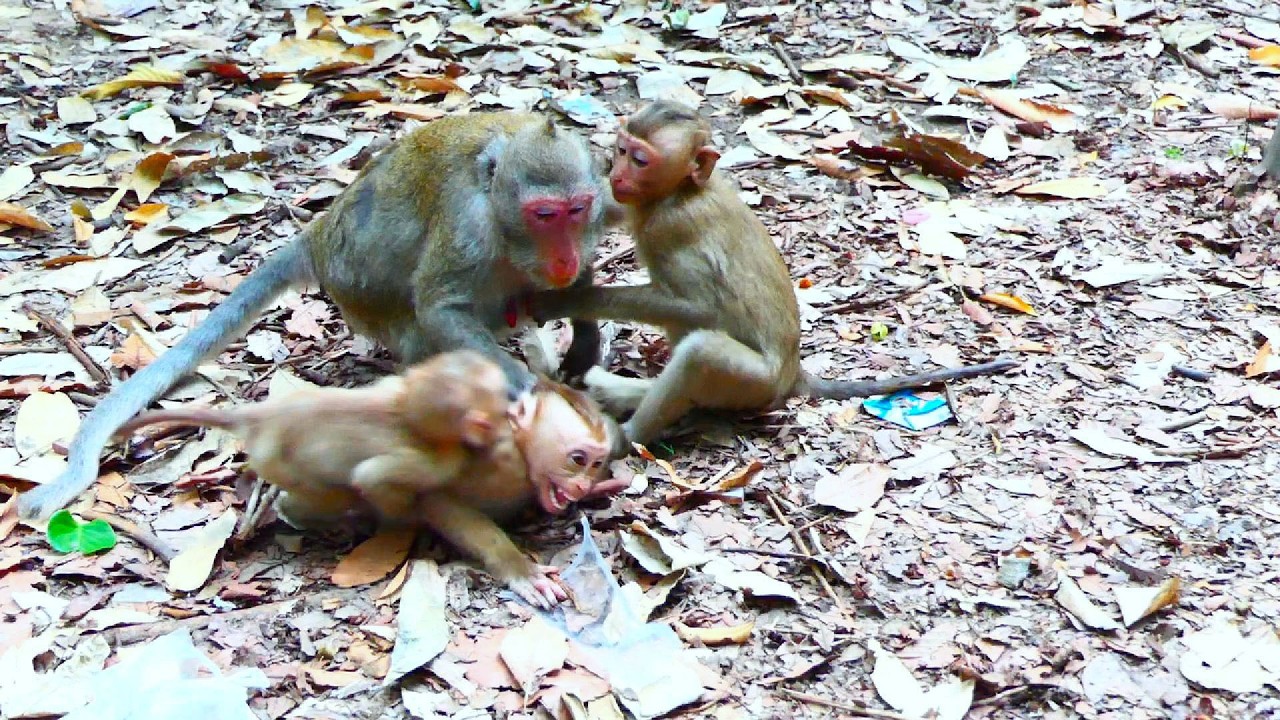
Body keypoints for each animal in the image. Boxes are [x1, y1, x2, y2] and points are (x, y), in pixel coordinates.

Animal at [19, 111, 612, 521]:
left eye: (576, 210)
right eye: (544, 215)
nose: (563, 256)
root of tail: (321, 236)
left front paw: (584, 340)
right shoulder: (468, 228)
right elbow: (440, 308)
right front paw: (524, 387)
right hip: (363, 298)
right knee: (421, 331)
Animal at [112, 354, 619, 608]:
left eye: (596, 463)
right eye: (577, 459)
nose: (580, 487)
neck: (518, 446)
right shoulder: (485, 462)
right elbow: (437, 503)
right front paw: (519, 568)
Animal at [530, 100, 1019, 452]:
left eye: (640, 159)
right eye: (620, 151)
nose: (616, 172)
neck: (683, 191)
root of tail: (792, 374)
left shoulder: (670, 226)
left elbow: (698, 307)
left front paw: (568, 301)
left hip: (754, 385)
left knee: (703, 352)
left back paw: (625, 438)